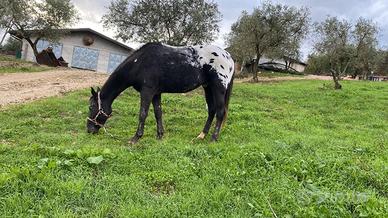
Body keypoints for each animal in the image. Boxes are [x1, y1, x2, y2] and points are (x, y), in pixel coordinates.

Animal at [87, 42, 235, 145]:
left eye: (91, 107)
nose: (89, 130)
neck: (139, 63)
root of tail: (229, 57)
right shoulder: (156, 93)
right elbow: (158, 113)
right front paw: (159, 135)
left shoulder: (147, 91)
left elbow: (143, 114)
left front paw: (135, 138)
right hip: (208, 88)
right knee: (211, 111)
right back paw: (201, 135)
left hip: (218, 88)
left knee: (220, 112)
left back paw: (213, 138)